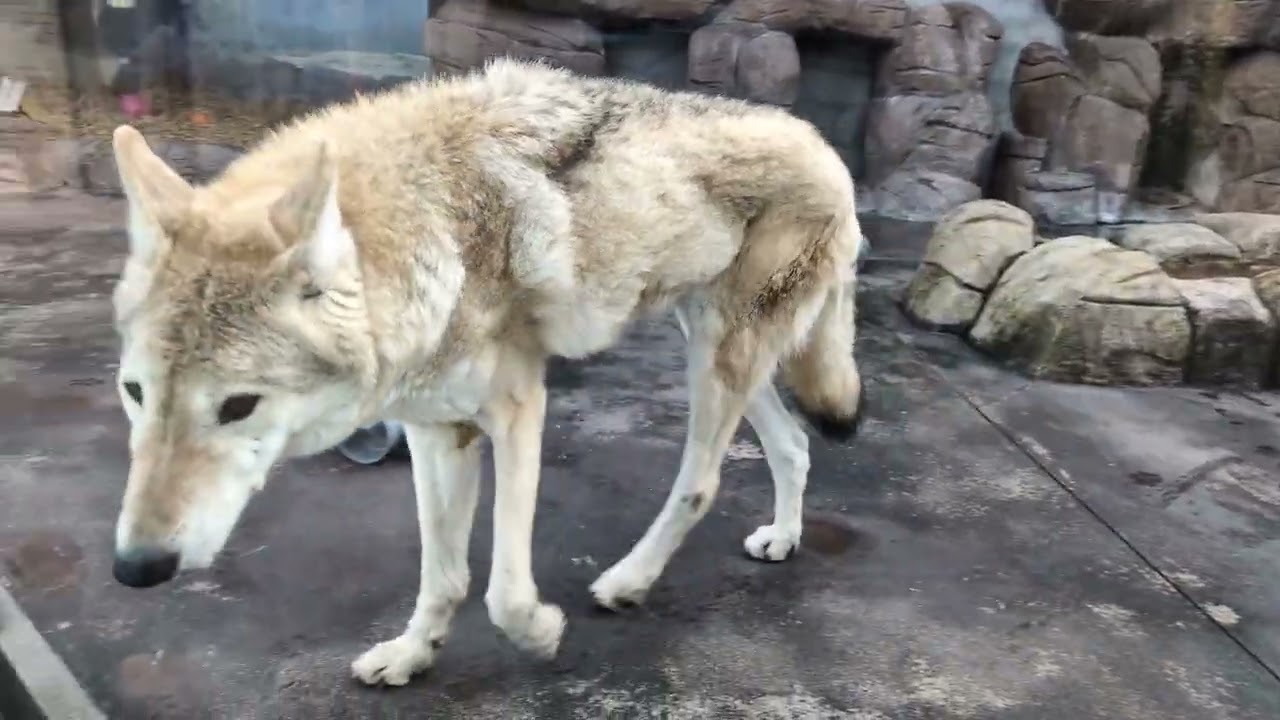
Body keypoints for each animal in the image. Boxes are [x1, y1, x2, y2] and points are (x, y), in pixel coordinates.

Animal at [107, 57, 865, 685]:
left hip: (717, 358)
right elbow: (441, 575)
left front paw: (542, 635)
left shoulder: (518, 407)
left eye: (238, 406)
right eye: (134, 393)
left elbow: (502, 591)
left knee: (702, 484)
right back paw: (782, 538)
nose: (136, 568)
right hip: (713, 349)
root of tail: (828, 149)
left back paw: (628, 581)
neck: (430, 229)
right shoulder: (436, 430)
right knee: (794, 446)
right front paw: (412, 656)